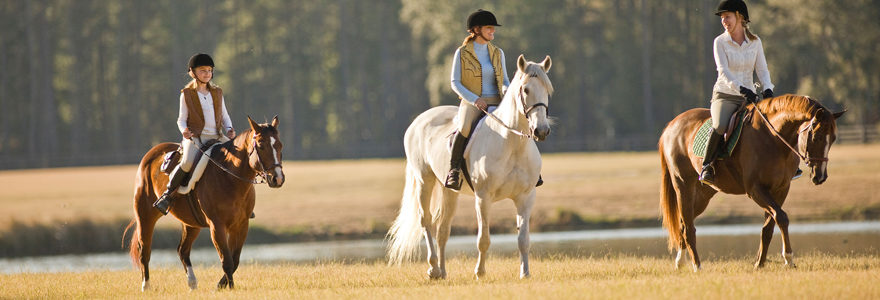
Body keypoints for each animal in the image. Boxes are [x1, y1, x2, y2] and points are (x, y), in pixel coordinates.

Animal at [124, 116, 286, 290]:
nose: (277, 179)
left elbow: (234, 260)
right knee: (145, 251)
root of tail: (152, 152)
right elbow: (227, 261)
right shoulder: (217, 226)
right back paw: (146, 286)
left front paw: (221, 285)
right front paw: (229, 288)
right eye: (261, 145)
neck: (230, 178)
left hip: (191, 224)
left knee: (183, 250)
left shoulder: (241, 225)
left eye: (279, 145)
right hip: (146, 216)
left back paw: (192, 283)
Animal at [388, 54, 552, 278]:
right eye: (525, 90)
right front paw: (480, 272)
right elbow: (483, 239)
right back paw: (433, 268)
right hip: (424, 181)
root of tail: (418, 121)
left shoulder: (525, 198)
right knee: (426, 221)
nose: (541, 131)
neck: (512, 144)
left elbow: (523, 240)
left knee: (443, 229)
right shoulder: (483, 198)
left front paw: (525, 273)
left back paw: (442, 271)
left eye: (547, 89)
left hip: (449, 191)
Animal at [656, 94, 844, 272]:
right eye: (816, 137)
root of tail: (672, 125)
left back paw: (680, 263)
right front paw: (788, 259)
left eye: (833, 138)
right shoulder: (756, 190)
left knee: (683, 224)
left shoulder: (781, 189)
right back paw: (697, 266)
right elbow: (781, 217)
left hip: (703, 195)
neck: (773, 139)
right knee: (689, 228)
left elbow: (769, 227)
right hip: (684, 187)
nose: (820, 176)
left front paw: (760, 263)